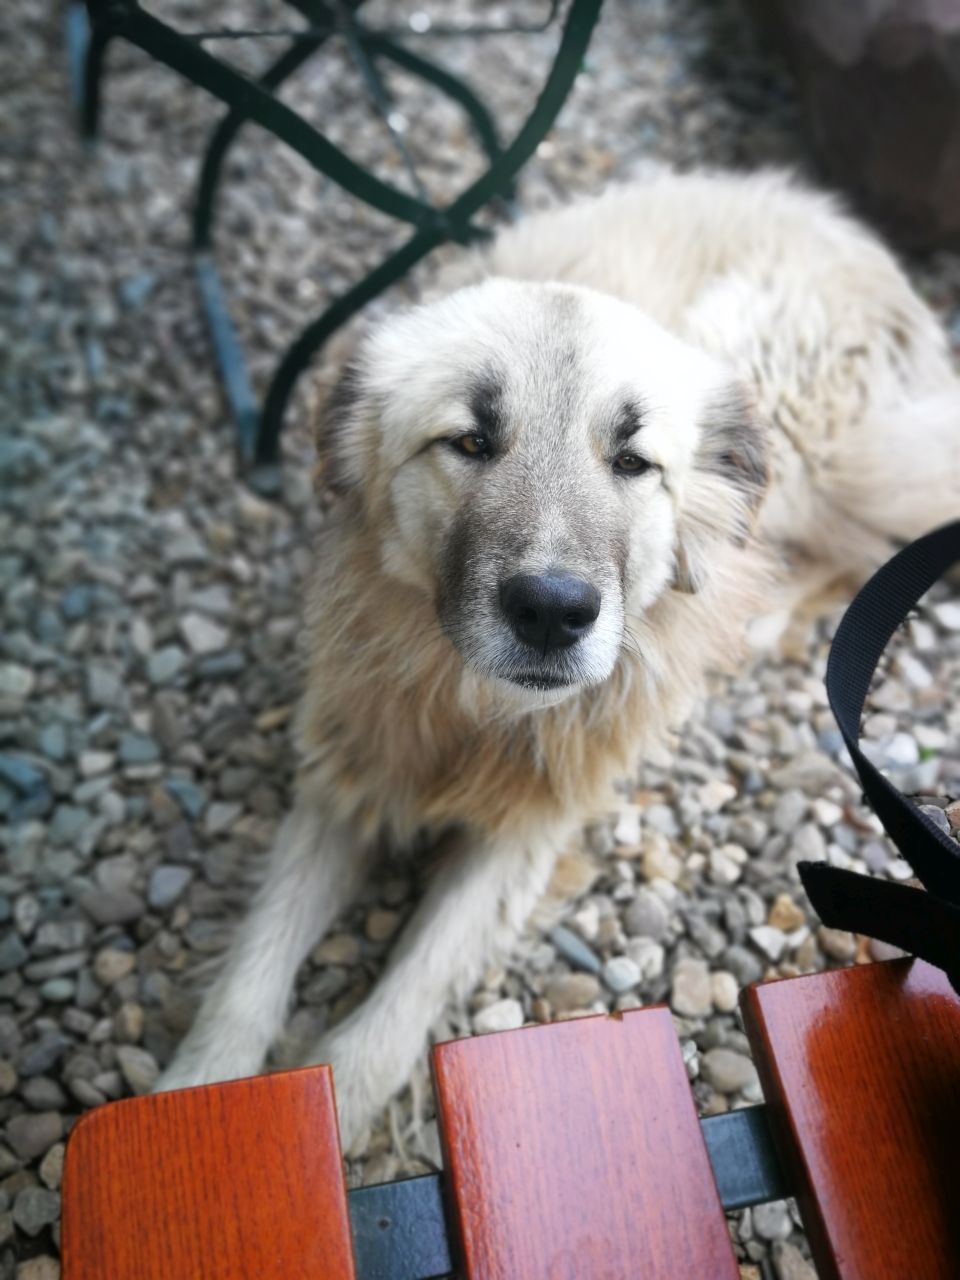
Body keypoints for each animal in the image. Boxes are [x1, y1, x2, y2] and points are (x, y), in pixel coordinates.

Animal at [156, 169, 960, 1147]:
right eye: (468, 441)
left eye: (633, 461)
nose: (552, 612)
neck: (474, 710)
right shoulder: (348, 777)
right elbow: (254, 962)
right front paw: (198, 1096)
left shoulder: (522, 836)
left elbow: (402, 1000)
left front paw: (334, 1125)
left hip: (788, 399)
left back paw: (754, 615)